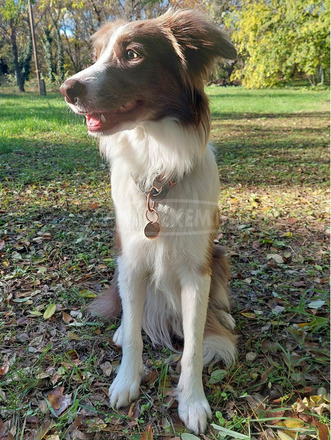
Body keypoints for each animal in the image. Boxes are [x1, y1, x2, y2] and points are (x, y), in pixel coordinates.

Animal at [60, 9, 239, 434]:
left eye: (133, 54)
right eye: (98, 55)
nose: (66, 89)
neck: (158, 161)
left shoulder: (197, 270)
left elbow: (193, 345)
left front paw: (192, 401)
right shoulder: (130, 257)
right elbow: (135, 330)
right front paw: (127, 380)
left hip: (219, 254)